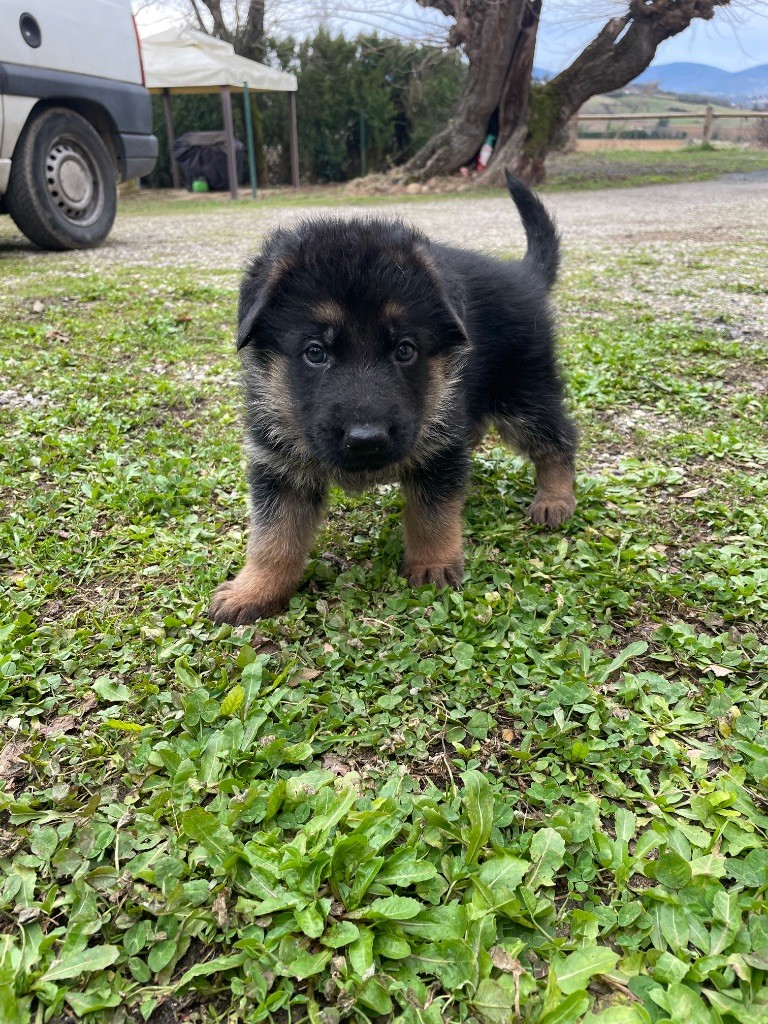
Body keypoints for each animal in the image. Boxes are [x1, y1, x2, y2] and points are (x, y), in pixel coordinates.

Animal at [209, 172, 577, 625]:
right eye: (315, 352)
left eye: (405, 350)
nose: (367, 439)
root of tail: (523, 274)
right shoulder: (280, 467)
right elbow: (273, 537)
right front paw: (255, 589)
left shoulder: (438, 452)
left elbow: (432, 516)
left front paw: (432, 563)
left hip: (523, 396)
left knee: (558, 438)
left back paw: (555, 497)